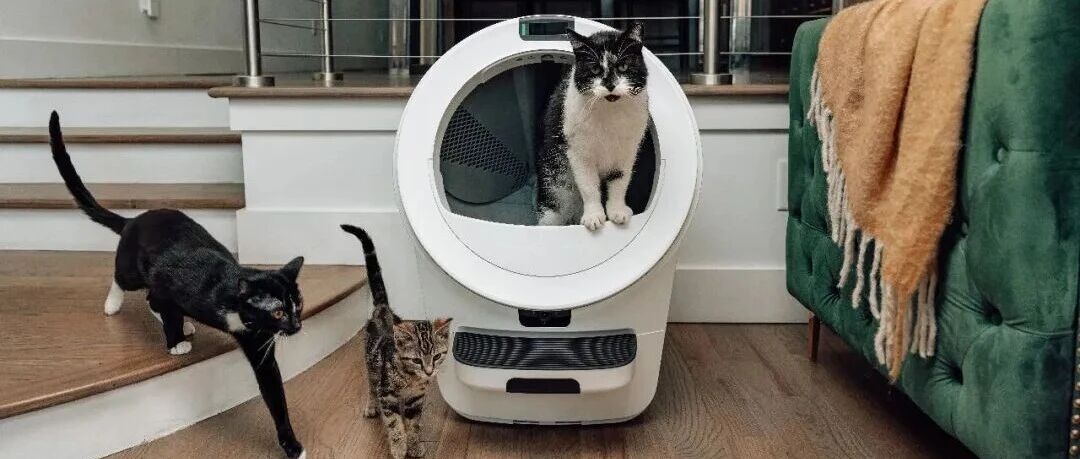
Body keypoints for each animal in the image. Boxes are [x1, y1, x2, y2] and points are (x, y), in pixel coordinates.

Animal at [48, 111, 308, 459]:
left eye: (298, 305)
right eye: (279, 312)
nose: (296, 326)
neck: (230, 294)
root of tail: (134, 220)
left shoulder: (257, 341)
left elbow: (274, 393)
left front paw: (291, 444)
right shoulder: (170, 284)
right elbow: (166, 309)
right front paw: (174, 343)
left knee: (150, 299)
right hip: (133, 268)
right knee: (127, 281)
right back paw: (115, 306)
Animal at [340, 224, 451, 459]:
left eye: (437, 356)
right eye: (417, 360)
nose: (429, 372)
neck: (411, 378)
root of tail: (383, 309)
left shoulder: (416, 400)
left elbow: (414, 425)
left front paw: (415, 444)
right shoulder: (387, 394)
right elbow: (394, 424)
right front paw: (399, 448)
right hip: (371, 365)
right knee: (371, 385)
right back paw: (371, 406)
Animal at [537, 23, 650, 230]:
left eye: (623, 66)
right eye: (595, 69)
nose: (610, 85)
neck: (610, 114)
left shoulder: (627, 152)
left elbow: (619, 183)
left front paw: (617, 212)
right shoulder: (579, 153)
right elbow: (589, 187)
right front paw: (593, 216)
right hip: (554, 184)